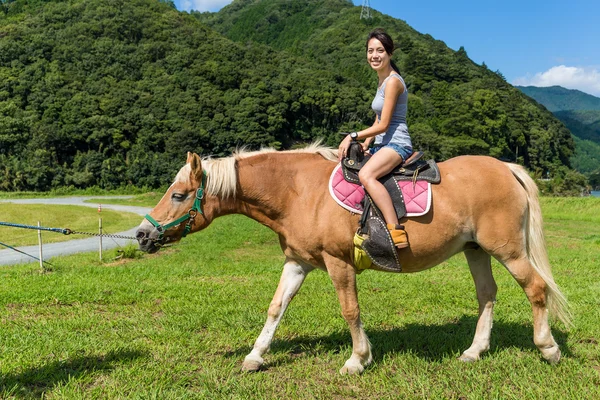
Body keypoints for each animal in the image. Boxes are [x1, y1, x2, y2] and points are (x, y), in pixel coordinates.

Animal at [134, 144, 568, 376]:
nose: (141, 235)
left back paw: (548, 348)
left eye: (178, 195)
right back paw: (474, 351)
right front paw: (255, 356)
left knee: (535, 289)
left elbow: (350, 310)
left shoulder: (337, 262)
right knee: (487, 295)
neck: (299, 192)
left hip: (507, 250)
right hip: (476, 250)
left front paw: (358, 360)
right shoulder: (298, 262)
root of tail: (506, 168)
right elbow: (276, 307)